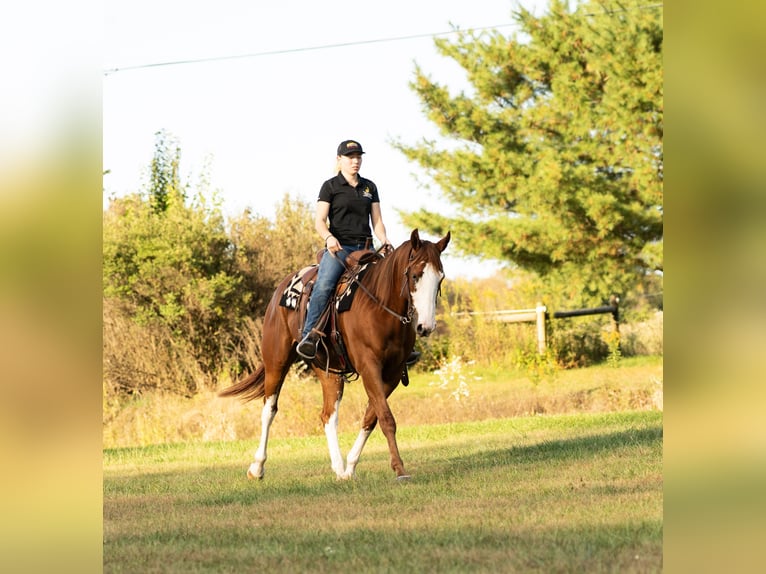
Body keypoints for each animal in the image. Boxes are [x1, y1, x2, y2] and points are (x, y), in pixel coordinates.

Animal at [219, 228, 450, 481]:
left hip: (328, 370)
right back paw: (257, 467)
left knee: (328, 415)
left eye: (440, 278)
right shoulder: (369, 367)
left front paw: (350, 467)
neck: (380, 307)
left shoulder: (393, 373)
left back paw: (339, 468)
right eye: (416, 275)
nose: (426, 327)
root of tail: (281, 288)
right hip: (276, 361)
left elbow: (372, 417)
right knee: (269, 410)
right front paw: (399, 469)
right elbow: (386, 418)